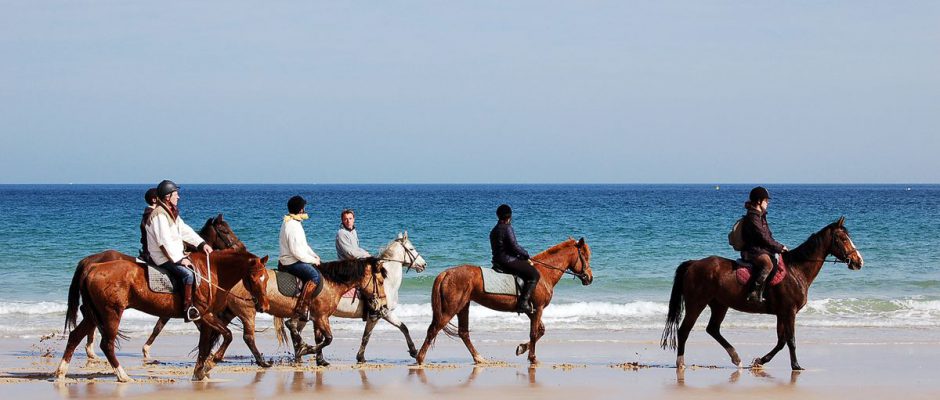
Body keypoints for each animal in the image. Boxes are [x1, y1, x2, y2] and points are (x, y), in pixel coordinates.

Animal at [57, 248, 272, 382]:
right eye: (253, 278)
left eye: (266, 278)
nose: (264, 305)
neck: (211, 274)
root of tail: (92, 267)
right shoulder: (204, 314)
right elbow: (227, 336)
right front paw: (210, 364)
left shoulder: (204, 319)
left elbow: (204, 345)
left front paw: (199, 372)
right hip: (111, 313)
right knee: (106, 344)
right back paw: (122, 375)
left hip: (94, 314)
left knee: (75, 336)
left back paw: (60, 373)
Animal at [74, 214, 246, 360]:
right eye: (225, 231)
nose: (242, 248)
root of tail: (90, 261)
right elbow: (163, 327)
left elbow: (160, 326)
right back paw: (90, 348)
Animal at [274, 231, 432, 366]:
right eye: (411, 248)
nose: (424, 264)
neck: (386, 281)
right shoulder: (379, 313)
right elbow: (367, 336)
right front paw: (361, 357)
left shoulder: (385, 312)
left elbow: (402, 327)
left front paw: (413, 351)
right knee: (295, 329)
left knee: (296, 330)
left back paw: (303, 356)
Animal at [414, 238, 592, 366]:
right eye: (585, 256)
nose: (589, 278)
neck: (544, 273)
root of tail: (446, 273)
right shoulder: (538, 309)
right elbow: (534, 333)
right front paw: (532, 358)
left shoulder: (532, 311)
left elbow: (540, 331)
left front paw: (521, 348)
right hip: (450, 309)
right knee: (433, 330)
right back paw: (420, 359)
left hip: (463, 306)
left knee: (463, 333)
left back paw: (479, 358)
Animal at [660, 217, 868, 370]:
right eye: (843, 239)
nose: (859, 262)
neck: (796, 270)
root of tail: (693, 264)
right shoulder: (789, 312)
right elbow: (791, 340)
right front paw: (796, 366)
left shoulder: (782, 313)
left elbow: (781, 341)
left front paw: (760, 361)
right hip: (697, 303)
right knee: (684, 330)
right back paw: (680, 363)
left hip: (719, 305)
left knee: (713, 329)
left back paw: (736, 358)